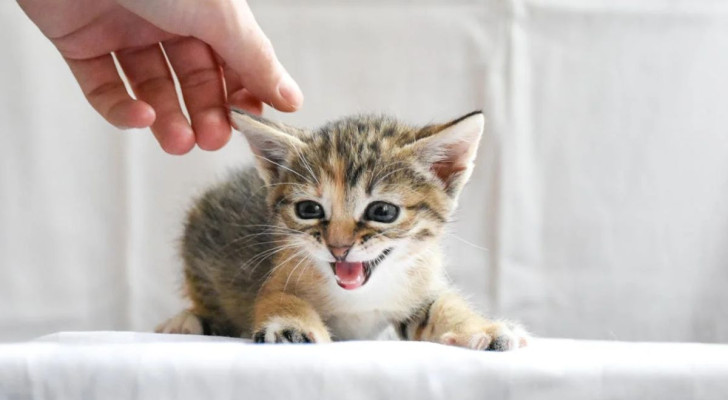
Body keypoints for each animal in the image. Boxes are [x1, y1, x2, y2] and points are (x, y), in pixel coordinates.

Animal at [155, 109, 528, 350]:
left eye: (382, 211)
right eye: (309, 210)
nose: (338, 247)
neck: (361, 297)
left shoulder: (420, 285)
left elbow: (443, 304)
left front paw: (482, 328)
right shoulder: (280, 271)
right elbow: (278, 297)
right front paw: (291, 325)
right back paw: (186, 322)